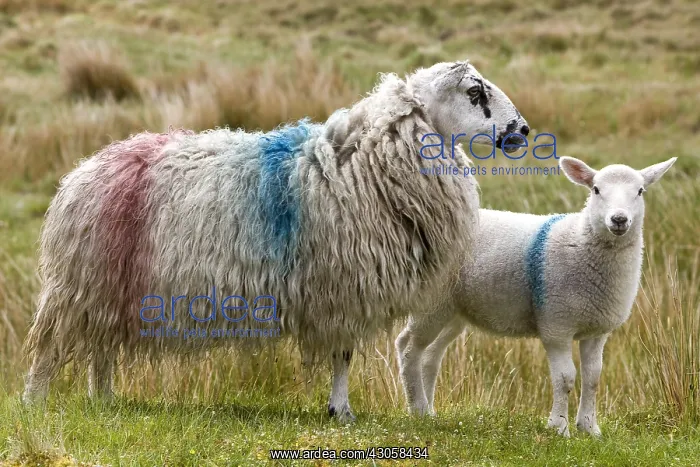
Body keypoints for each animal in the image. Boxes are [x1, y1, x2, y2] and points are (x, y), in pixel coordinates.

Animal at [22, 60, 529, 423]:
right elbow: (343, 353)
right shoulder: (339, 288)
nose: (523, 131)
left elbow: (343, 354)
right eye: (475, 92)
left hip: (113, 287)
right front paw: (341, 412)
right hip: (81, 283)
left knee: (101, 349)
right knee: (49, 346)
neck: (367, 165)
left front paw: (338, 408)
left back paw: (103, 399)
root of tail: (84, 170)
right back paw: (34, 402)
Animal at [396, 156, 677, 436]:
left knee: (430, 356)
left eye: (640, 191)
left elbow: (593, 377)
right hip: (432, 302)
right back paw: (418, 409)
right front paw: (559, 427)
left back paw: (430, 412)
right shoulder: (556, 325)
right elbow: (565, 378)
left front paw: (589, 428)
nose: (619, 220)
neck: (580, 239)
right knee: (408, 348)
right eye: (596, 189)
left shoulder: (597, 330)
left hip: (453, 310)